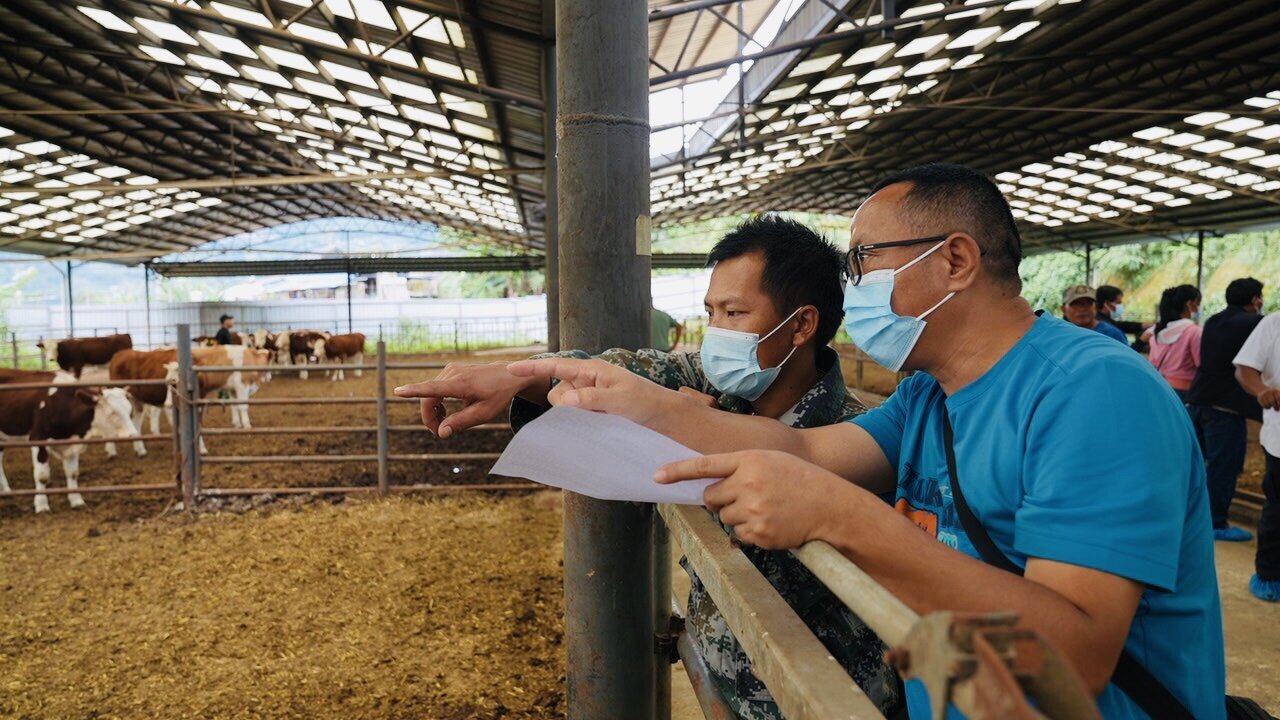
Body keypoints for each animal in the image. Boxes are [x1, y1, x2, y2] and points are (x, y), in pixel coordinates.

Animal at [0, 368, 138, 509]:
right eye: (112, 412)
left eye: (130, 411)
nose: (133, 434)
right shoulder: (38, 439)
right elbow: (42, 477)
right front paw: (41, 505)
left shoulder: (72, 443)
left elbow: (73, 473)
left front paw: (76, 501)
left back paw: (5, 490)